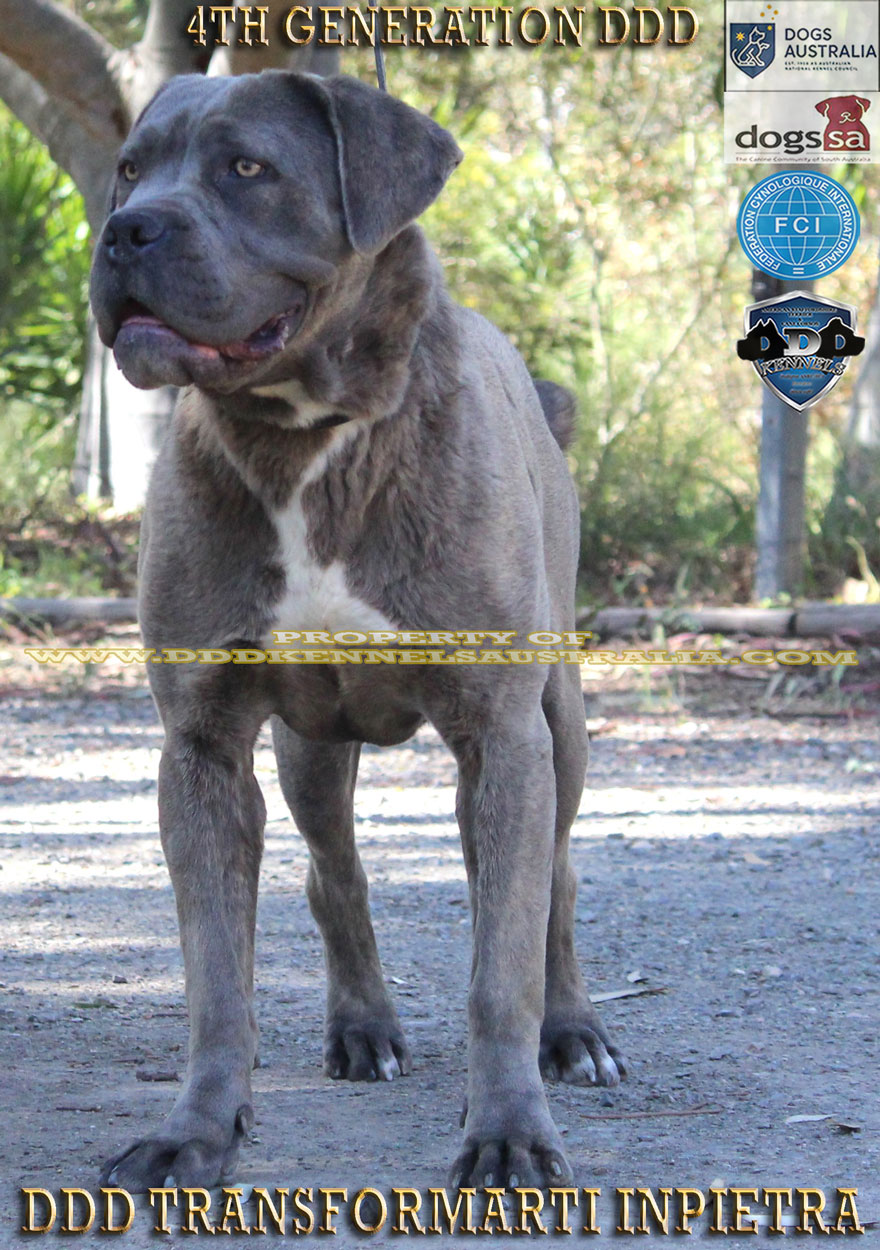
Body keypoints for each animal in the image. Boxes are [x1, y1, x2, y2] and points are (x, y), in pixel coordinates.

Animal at [89, 70, 625, 1192]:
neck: (300, 437)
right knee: (333, 868)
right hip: (310, 746)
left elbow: (499, 965)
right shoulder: (201, 745)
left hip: (557, 725)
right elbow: (217, 975)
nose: (125, 230)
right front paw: (200, 1129)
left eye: (247, 167)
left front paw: (510, 1130)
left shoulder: (501, 736)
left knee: (551, 879)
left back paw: (574, 1031)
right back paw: (363, 1025)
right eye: (130, 168)